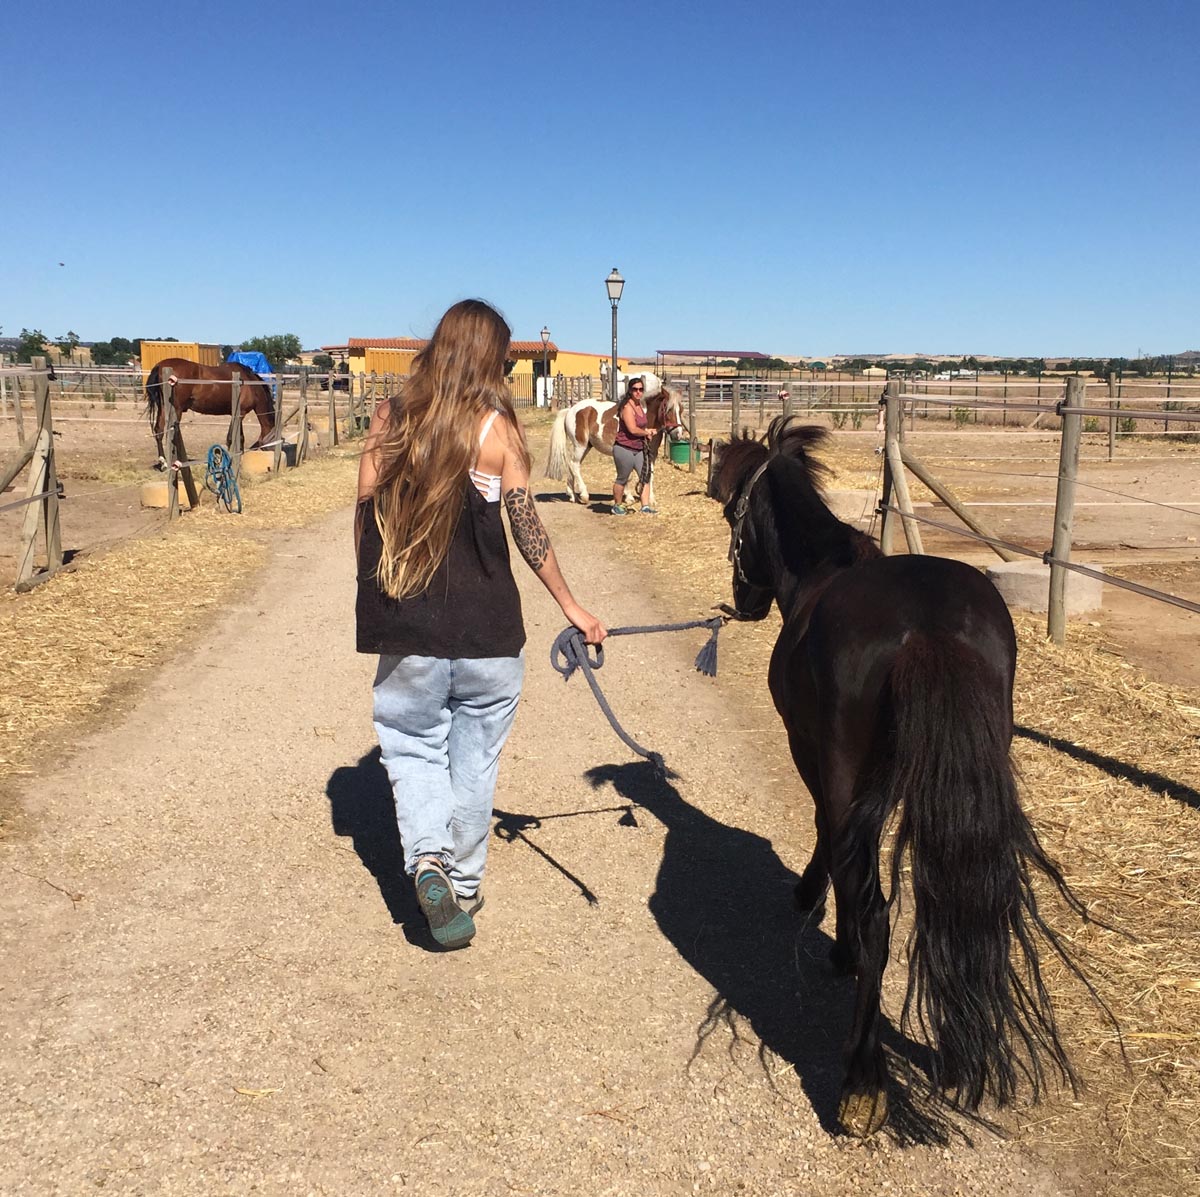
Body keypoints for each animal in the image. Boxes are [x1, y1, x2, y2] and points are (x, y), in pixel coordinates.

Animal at [145, 358, 276, 469]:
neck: (249, 383)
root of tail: (160, 366)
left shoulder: (238, 414)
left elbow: (239, 437)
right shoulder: (240, 414)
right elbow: (233, 438)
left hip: (163, 408)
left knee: (159, 431)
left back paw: (163, 462)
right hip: (175, 409)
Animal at [544, 377, 684, 503]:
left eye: (681, 410)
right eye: (668, 410)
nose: (678, 434)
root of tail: (570, 410)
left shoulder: (650, 454)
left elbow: (649, 475)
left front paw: (650, 499)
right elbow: (628, 473)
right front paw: (629, 498)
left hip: (586, 447)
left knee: (573, 465)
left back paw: (572, 495)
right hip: (580, 445)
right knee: (574, 465)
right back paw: (584, 495)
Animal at [712, 416, 1091, 1137]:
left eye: (730, 513)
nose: (743, 601)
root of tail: (929, 628)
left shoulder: (814, 755)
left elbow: (829, 840)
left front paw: (826, 923)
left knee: (881, 914)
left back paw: (862, 1083)